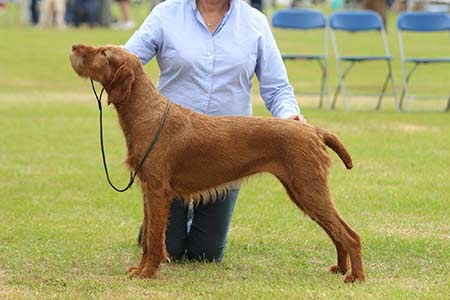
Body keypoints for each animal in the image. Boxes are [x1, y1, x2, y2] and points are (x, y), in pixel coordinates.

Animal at [71, 43, 366, 282]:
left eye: (104, 53)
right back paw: (341, 269)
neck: (146, 113)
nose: (74, 46)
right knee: (336, 232)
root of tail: (313, 130)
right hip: (302, 192)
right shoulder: (147, 189)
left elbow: (154, 238)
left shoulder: (157, 191)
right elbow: (147, 238)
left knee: (350, 234)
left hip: (308, 189)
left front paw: (148, 273)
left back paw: (356, 277)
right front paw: (141, 269)